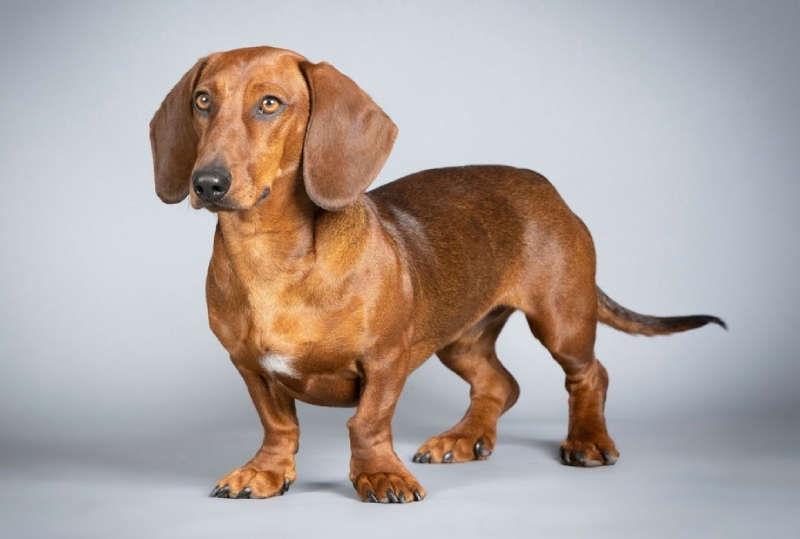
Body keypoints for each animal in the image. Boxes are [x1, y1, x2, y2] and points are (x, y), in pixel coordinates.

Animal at [150, 47, 724, 506]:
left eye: (270, 103)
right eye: (202, 100)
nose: (207, 183)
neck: (272, 257)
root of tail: (550, 190)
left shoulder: (386, 360)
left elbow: (368, 422)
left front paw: (379, 474)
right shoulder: (251, 367)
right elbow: (279, 425)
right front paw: (265, 473)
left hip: (563, 319)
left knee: (589, 374)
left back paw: (587, 441)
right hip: (460, 338)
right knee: (500, 384)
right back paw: (464, 439)